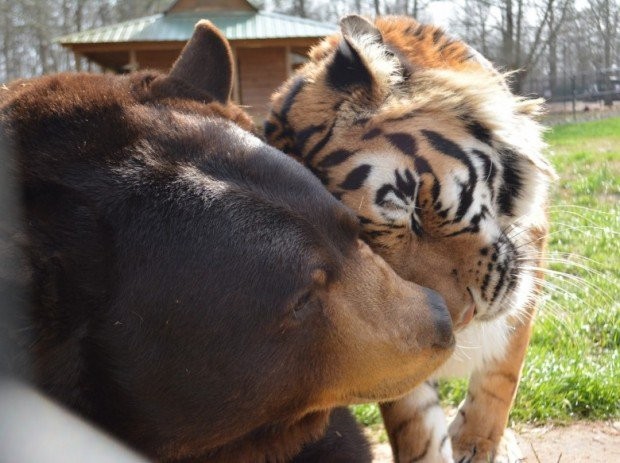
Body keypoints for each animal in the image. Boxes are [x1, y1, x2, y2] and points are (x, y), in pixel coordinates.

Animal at [264, 14, 556, 463]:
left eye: (414, 207)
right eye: (367, 258)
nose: (462, 318)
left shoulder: (529, 253)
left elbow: (501, 372)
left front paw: (476, 444)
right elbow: (413, 419)